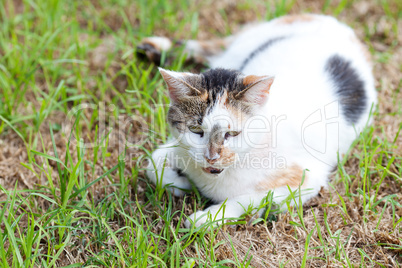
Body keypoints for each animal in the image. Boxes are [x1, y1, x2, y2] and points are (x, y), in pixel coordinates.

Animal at [141, 14, 376, 228]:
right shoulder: (180, 147)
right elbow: (153, 162)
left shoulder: (306, 178)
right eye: (196, 130)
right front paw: (180, 184)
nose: (212, 158)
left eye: (232, 134)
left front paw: (206, 217)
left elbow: (251, 199)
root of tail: (330, 20)